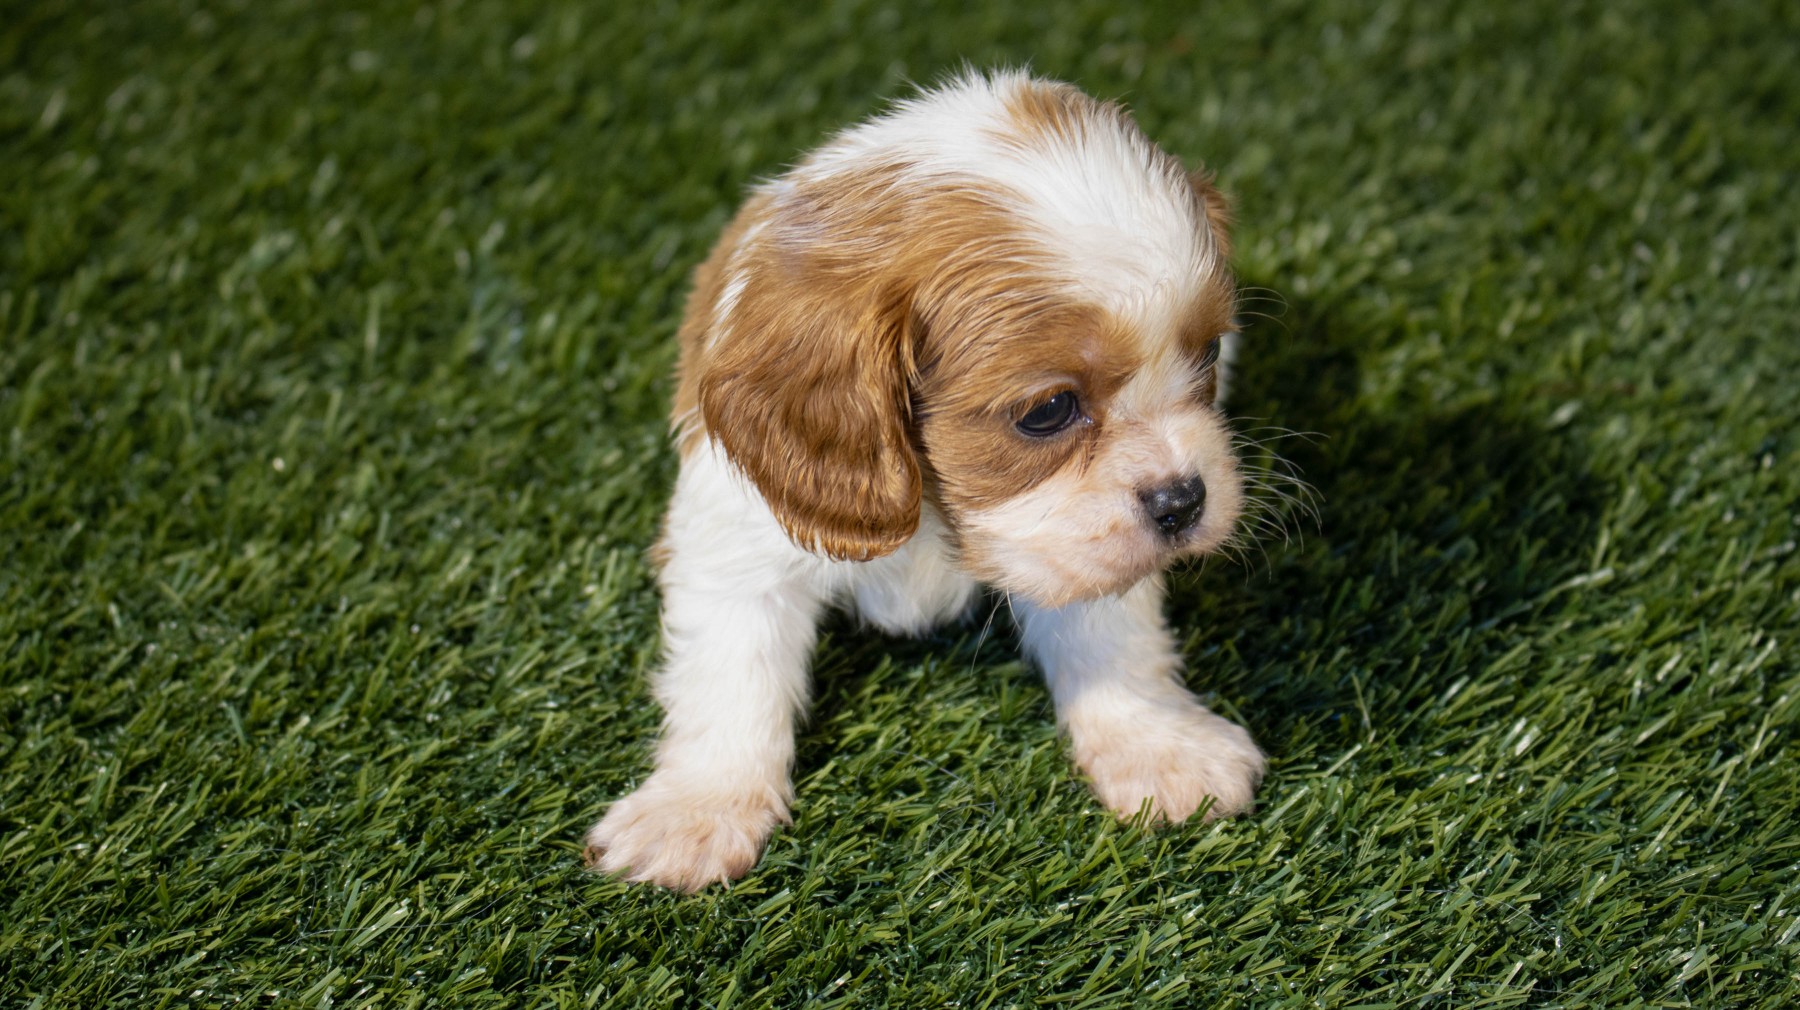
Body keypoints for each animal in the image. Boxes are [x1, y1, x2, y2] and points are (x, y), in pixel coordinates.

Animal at [585, 69, 1267, 891]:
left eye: (1208, 355)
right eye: (1048, 411)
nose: (1184, 500)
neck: (935, 512)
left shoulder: (1073, 542)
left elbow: (1114, 634)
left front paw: (1158, 743)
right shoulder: (737, 542)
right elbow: (733, 675)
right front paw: (697, 808)